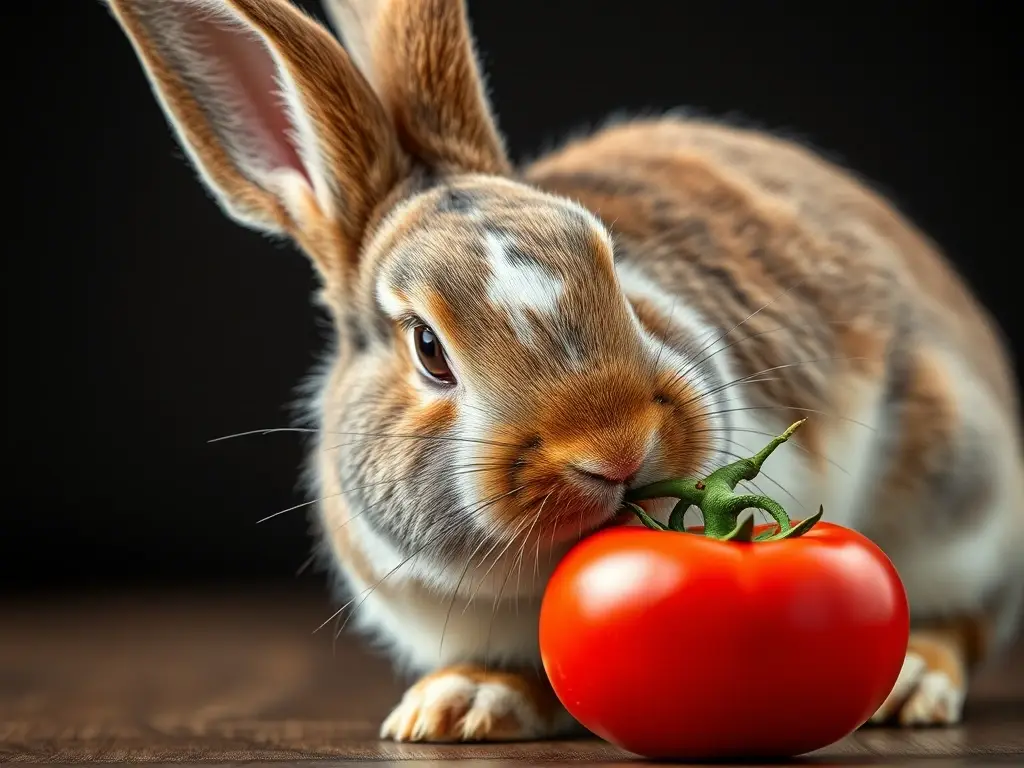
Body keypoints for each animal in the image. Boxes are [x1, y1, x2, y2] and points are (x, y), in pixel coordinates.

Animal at [104, 0, 1023, 742]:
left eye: (608, 261)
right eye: (428, 348)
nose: (616, 448)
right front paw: (459, 706)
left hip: (956, 492)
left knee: (968, 616)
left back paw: (912, 679)